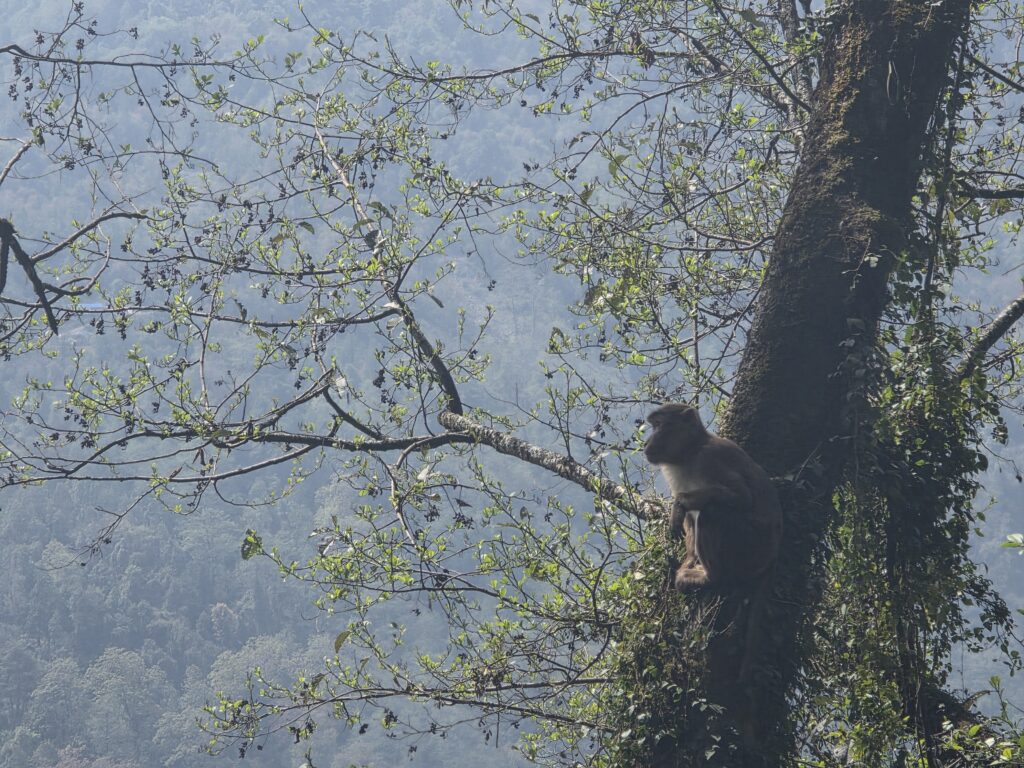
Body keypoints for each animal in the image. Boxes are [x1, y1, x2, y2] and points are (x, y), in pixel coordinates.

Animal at [643, 402, 781, 591]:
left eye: (658, 425)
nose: (647, 442)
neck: (690, 452)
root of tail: (772, 556)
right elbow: (689, 518)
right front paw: (689, 560)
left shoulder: (709, 459)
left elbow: (743, 497)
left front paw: (679, 503)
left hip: (753, 549)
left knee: (712, 511)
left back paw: (711, 577)